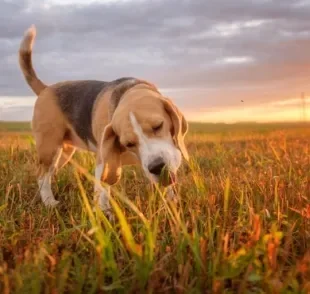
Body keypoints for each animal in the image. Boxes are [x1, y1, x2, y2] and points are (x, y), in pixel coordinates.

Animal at [20, 25, 189, 219]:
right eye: (128, 143)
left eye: (158, 126)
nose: (157, 167)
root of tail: (46, 89)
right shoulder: (103, 159)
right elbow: (102, 190)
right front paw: (105, 216)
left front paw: (174, 206)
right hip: (49, 147)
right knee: (42, 175)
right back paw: (49, 202)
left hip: (63, 153)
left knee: (47, 174)